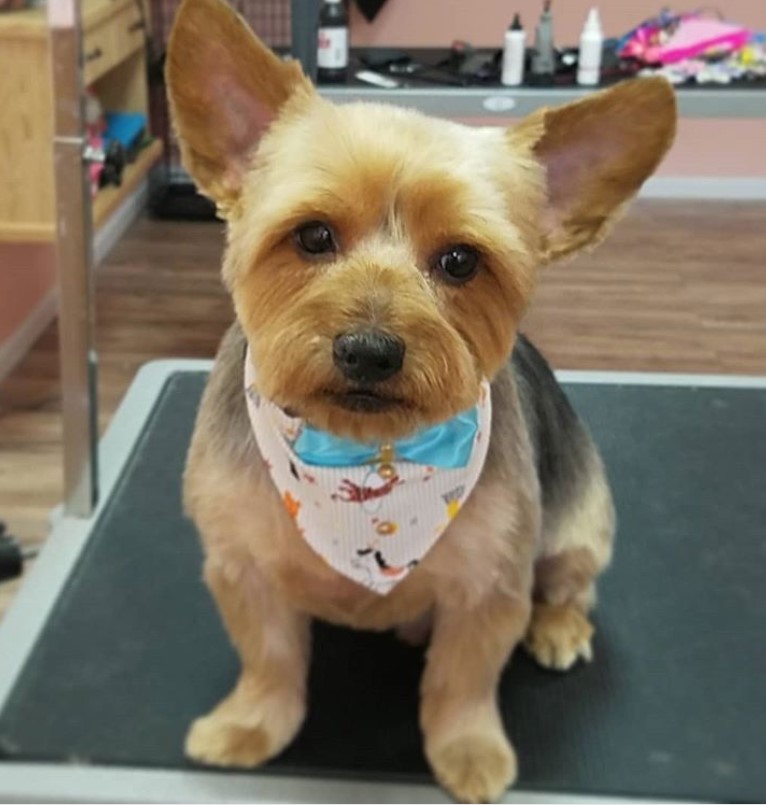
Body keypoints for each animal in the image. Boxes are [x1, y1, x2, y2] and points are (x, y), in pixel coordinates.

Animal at [168, 3, 680, 800]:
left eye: (461, 260)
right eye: (313, 236)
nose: (369, 350)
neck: (359, 448)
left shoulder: (491, 583)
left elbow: (462, 681)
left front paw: (469, 753)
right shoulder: (240, 565)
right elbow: (270, 657)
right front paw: (250, 725)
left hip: (579, 523)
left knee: (569, 583)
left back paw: (560, 627)